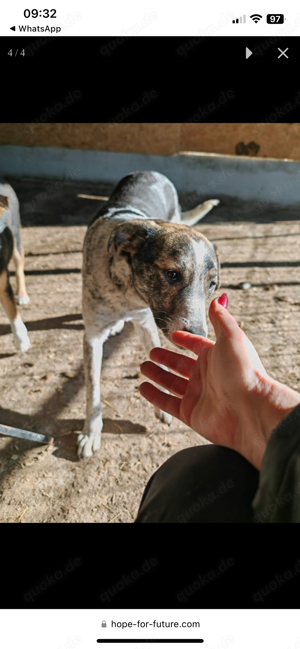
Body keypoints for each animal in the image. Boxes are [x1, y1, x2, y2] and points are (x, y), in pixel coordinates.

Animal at [79, 170, 220, 458]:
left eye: (212, 285)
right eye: (172, 274)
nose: (198, 335)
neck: (127, 290)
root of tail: (152, 173)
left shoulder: (147, 324)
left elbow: (158, 363)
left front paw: (162, 405)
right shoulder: (92, 337)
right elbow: (93, 390)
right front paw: (91, 432)